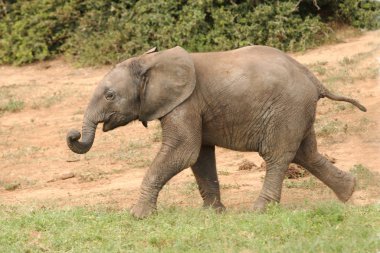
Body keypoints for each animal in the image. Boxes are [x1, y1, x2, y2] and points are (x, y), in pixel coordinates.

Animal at [67, 46, 366, 218]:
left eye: (109, 95)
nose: (73, 135)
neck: (150, 61)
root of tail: (315, 80)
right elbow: (198, 156)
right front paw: (214, 214)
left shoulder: (185, 103)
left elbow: (183, 151)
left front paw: (138, 216)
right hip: (296, 111)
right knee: (306, 154)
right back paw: (349, 192)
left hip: (287, 108)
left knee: (278, 156)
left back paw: (259, 211)